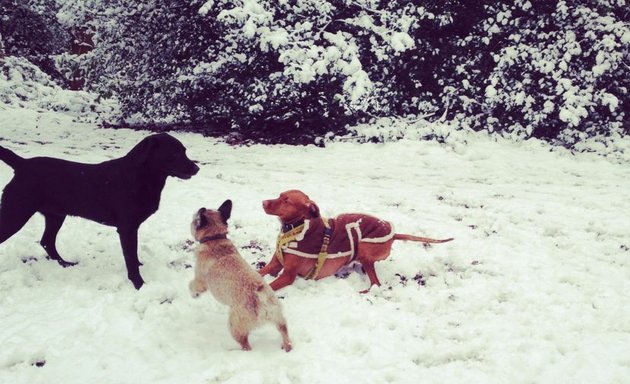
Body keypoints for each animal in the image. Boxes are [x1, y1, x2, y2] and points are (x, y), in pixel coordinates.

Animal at [0, 134, 200, 290]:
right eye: (175, 153)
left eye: (184, 151)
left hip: (55, 215)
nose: (197, 168)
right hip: (15, 213)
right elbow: (130, 258)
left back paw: (65, 264)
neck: (142, 176)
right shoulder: (127, 228)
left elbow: (134, 256)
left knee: (47, 242)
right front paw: (139, 284)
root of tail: (23, 164)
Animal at [189, 200, 296, 352]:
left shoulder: (200, 280)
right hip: (279, 318)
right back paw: (286, 345)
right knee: (283, 331)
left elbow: (193, 285)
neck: (215, 238)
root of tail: (262, 298)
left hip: (235, 324)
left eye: (194, 220)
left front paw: (194, 294)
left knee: (245, 344)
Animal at [260, 190, 456, 292]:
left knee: (376, 283)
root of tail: (393, 234)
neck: (296, 229)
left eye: (286, 200)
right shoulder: (274, 265)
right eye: (279, 195)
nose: (263, 202)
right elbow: (260, 272)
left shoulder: (288, 275)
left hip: (364, 248)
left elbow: (268, 287)